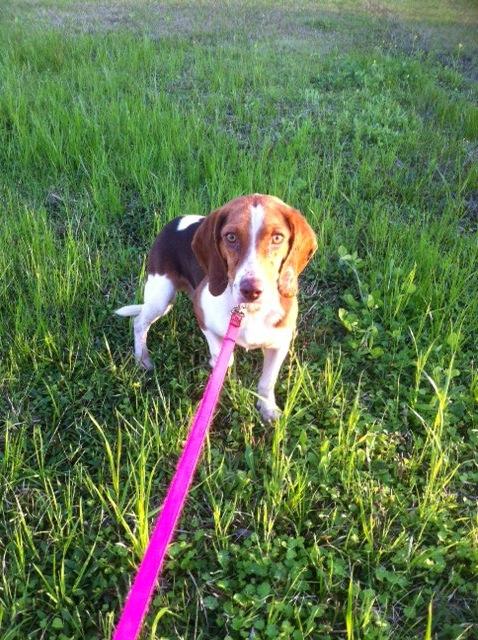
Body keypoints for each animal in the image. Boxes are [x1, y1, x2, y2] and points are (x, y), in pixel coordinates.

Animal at [116, 192, 318, 420]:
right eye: (231, 237)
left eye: (277, 238)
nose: (251, 290)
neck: (250, 312)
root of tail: (175, 221)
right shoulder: (202, 317)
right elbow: (224, 358)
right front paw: (217, 364)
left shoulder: (280, 343)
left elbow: (267, 382)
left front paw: (267, 409)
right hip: (161, 297)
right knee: (139, 322)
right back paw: (142, 359)